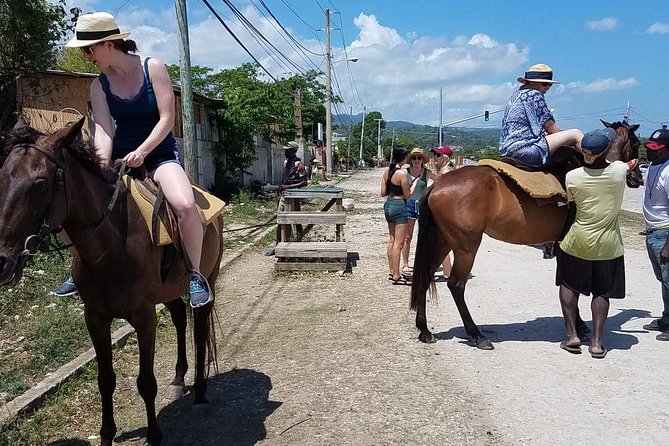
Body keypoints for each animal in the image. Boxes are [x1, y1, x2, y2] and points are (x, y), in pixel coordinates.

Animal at [0, 119, 223, 446]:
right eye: (1, 176)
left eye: (40, 183)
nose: (2, 261)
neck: (110, 246)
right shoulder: (95, 317)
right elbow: (105, 380)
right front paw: (107, 434)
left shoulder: (144, 318)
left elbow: (146, 382)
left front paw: (154, 435)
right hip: (169, 291)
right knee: (180, 319)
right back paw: (179, 379)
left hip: (208, 281)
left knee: (200, 330)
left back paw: (201, 393)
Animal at [408, 120, 640, 350]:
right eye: (636, 144)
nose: (638, 176)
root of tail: (438, 184)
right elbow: (568, 282)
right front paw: (580, 325)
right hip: (466, 246)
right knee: (456, 284)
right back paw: (476, 334)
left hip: (443, 241)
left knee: (426, 275)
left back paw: (425, 330)